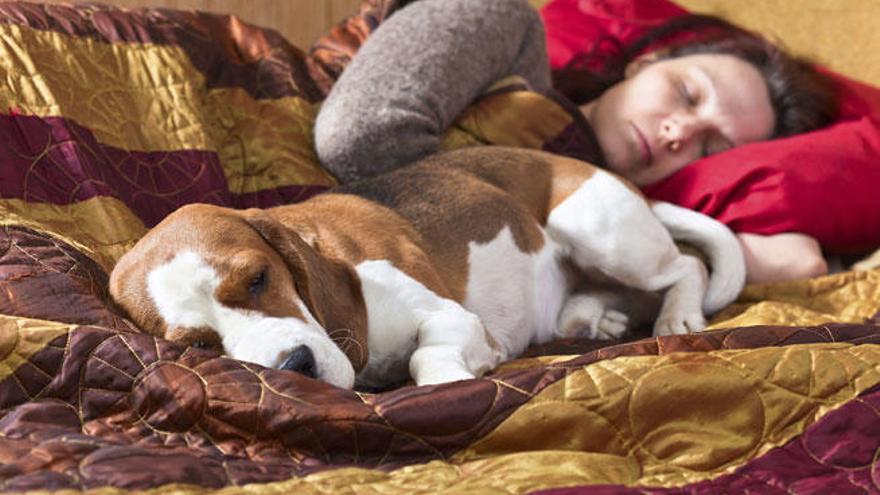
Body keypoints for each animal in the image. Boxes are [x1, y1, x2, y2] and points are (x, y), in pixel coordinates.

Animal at [108, 147, 744, 392]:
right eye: (198, 344)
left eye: (259, 278)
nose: (296, 366)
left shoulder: (448, 316)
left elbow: (425, 354)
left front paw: (445, 381)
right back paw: (593, 318)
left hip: (593, 227)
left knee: (685, 266)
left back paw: (679, 317)